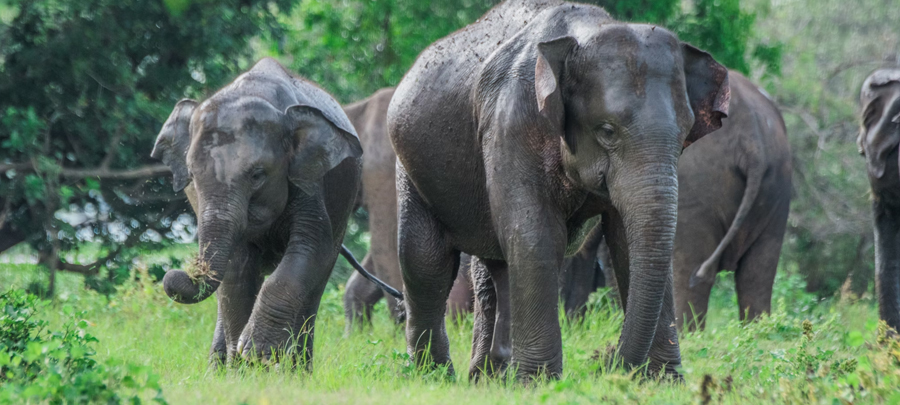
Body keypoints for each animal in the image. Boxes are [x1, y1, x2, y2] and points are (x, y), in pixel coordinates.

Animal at [153, 57, 364, 370]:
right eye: (192, 175)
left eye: (257, 175)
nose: (177, 273)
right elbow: (238, 267)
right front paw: (245, 366)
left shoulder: (309, 181)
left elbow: (312, 248)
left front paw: (258, 353)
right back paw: (221, 368)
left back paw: (296, 370)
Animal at [388, 0, 732, 378]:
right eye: (607, 130)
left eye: (684, 134)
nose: (606, 362)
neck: (584, 33)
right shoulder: (511, 123)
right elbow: (535, 234)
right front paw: (539, 382)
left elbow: (626, 241)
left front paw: (663, 381)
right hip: (411, 167)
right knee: (425, 261)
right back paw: (434, 375)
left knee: (491, 265)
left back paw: (489, 377)